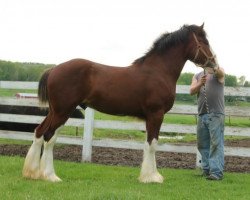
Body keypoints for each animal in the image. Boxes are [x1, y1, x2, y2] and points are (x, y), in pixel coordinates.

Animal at [23, 23, 219, 183]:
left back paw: (33, 173)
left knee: (39, 132)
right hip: (63, 111)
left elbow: (148, 143)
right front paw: (151, 177)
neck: (158, 71)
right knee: (49, 137)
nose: (214, 64)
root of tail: (54, 69)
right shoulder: (156, 114)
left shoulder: (151, 117)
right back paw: (50, 176)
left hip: (55, 111)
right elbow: (152, 144)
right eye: (204, 41)